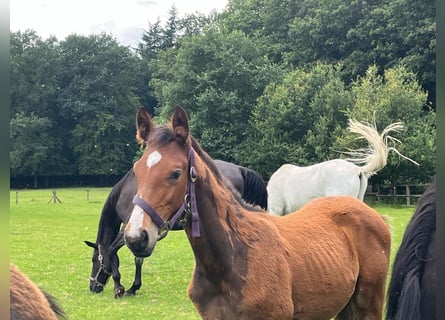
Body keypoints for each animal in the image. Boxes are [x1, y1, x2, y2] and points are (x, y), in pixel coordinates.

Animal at [84, 156, 266, 298]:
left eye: (94, 260)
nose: (93, 287)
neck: (126, 192)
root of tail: (240, 169)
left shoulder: (130, 230)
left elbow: (111, 250)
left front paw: (119, 287)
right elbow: (138, 259)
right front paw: (133, 287)